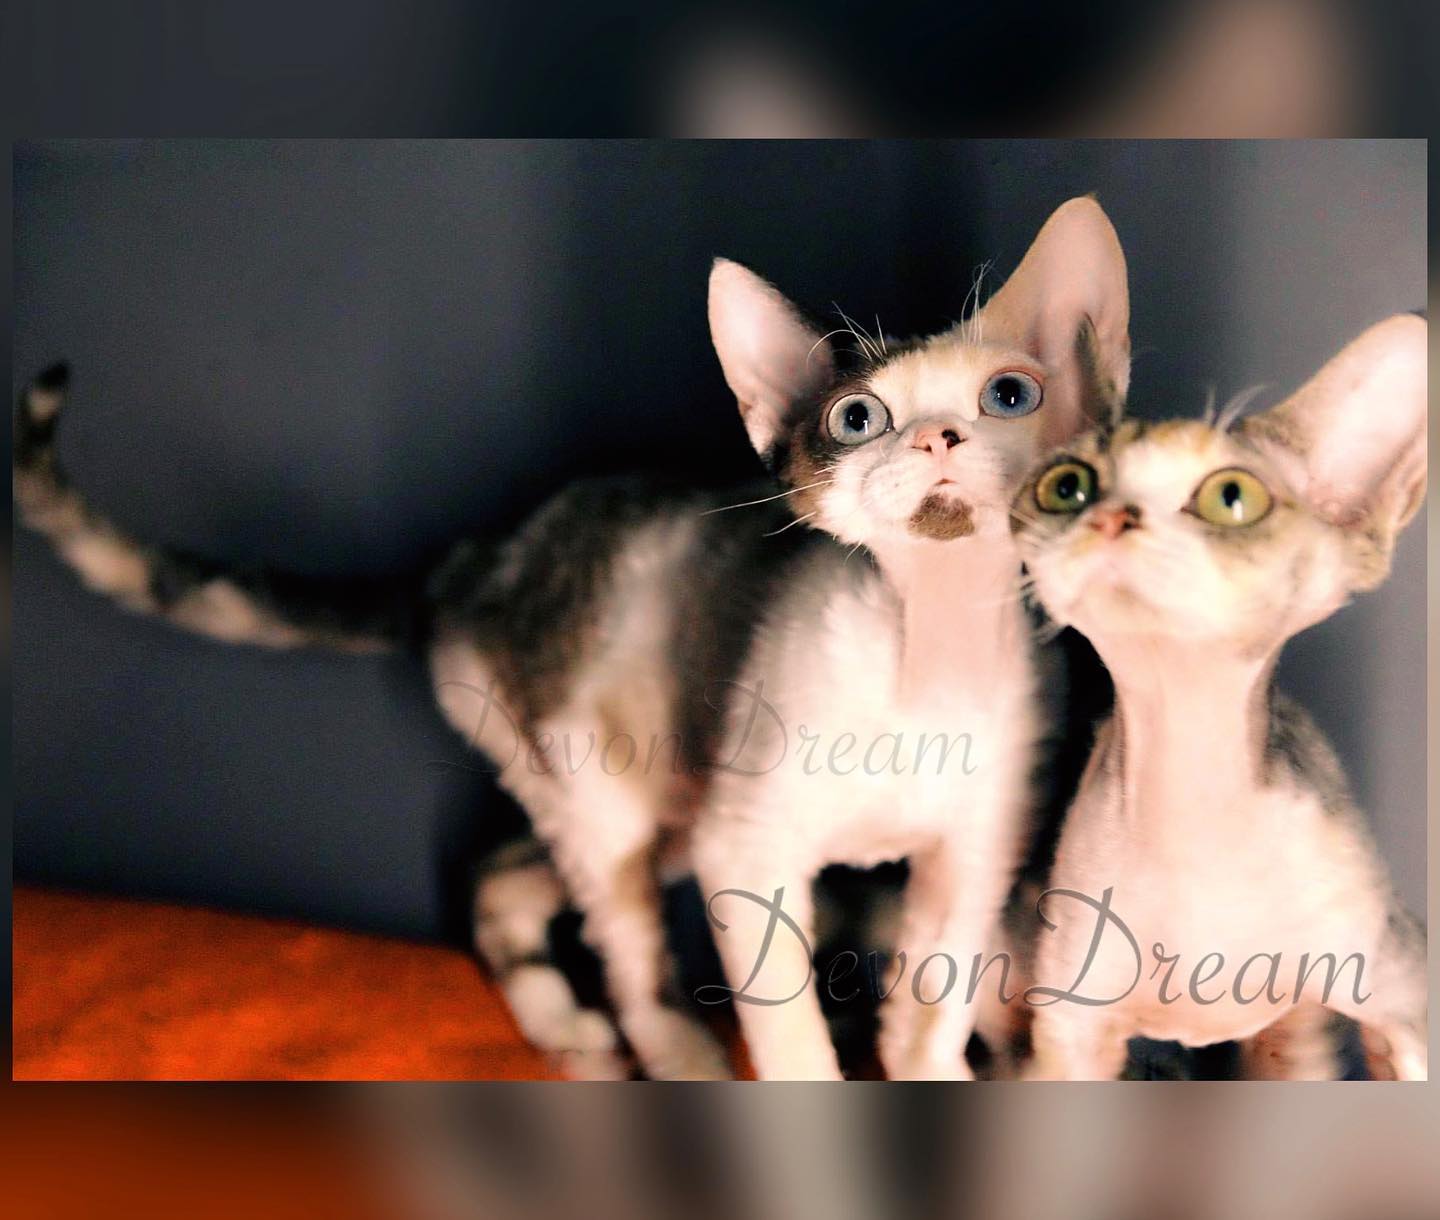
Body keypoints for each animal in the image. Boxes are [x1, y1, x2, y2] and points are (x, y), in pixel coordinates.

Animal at [15, 196, 1130, 1079]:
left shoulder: (977, 849)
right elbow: (791, 1035)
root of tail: (472, 561)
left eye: (1010, 395)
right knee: (622, 950)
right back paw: (672, 1054)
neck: (924, 650)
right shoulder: (749, 842)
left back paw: (567, 1030)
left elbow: (929, 1016)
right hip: (604, 784)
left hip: (654, 797)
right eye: (855, 418)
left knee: (501, 881)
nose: (939, 436)